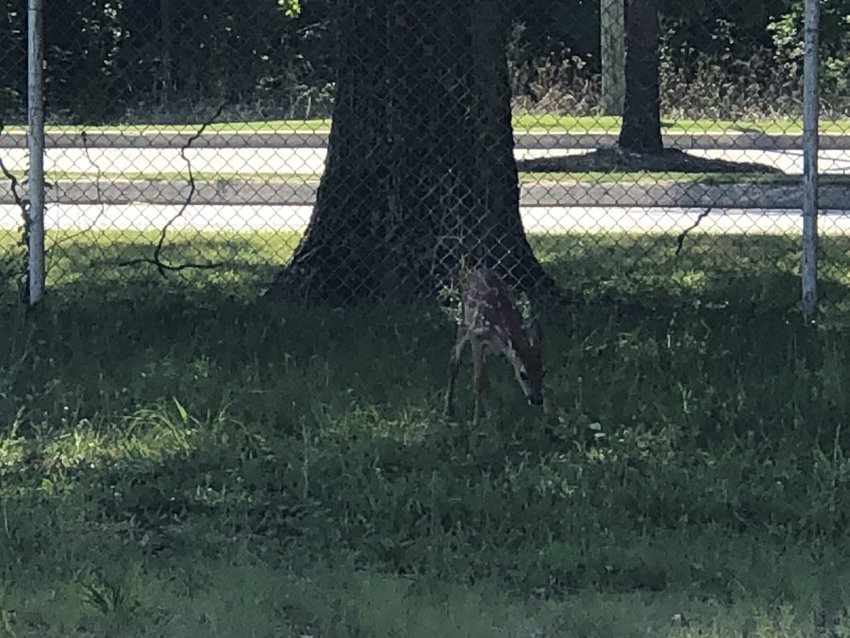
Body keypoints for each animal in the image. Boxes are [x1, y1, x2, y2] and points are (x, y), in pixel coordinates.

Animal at [444, 264, 544, 424]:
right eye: (523, 375)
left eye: (543, 373)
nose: (537, 399)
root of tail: (475, 271)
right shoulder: (477, 337)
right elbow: (477, 381)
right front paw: (475, 421)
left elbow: (485, 379)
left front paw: (489, 416)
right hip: (463, 319)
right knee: (454, 360)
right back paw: (447, 411)